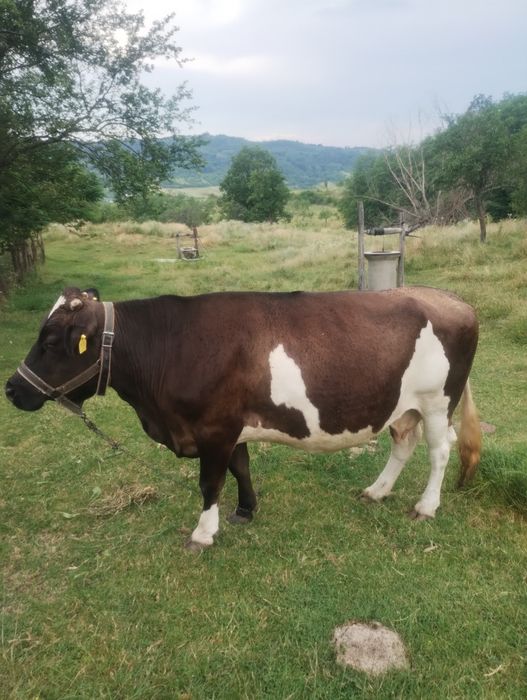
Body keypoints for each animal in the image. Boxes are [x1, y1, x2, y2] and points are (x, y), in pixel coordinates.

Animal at [5, 285, 481, 549]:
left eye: (51, 341)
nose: (11, 389)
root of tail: (454, 300)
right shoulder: (229, 427)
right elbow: (241, 468)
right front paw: (246, 510)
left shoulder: (213, 429)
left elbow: (210, 481)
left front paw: (203, 534)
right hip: (404, 404)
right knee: (404, 442)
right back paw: (377, 491)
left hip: (438, 401)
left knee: (439, 452)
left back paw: (425, 506)